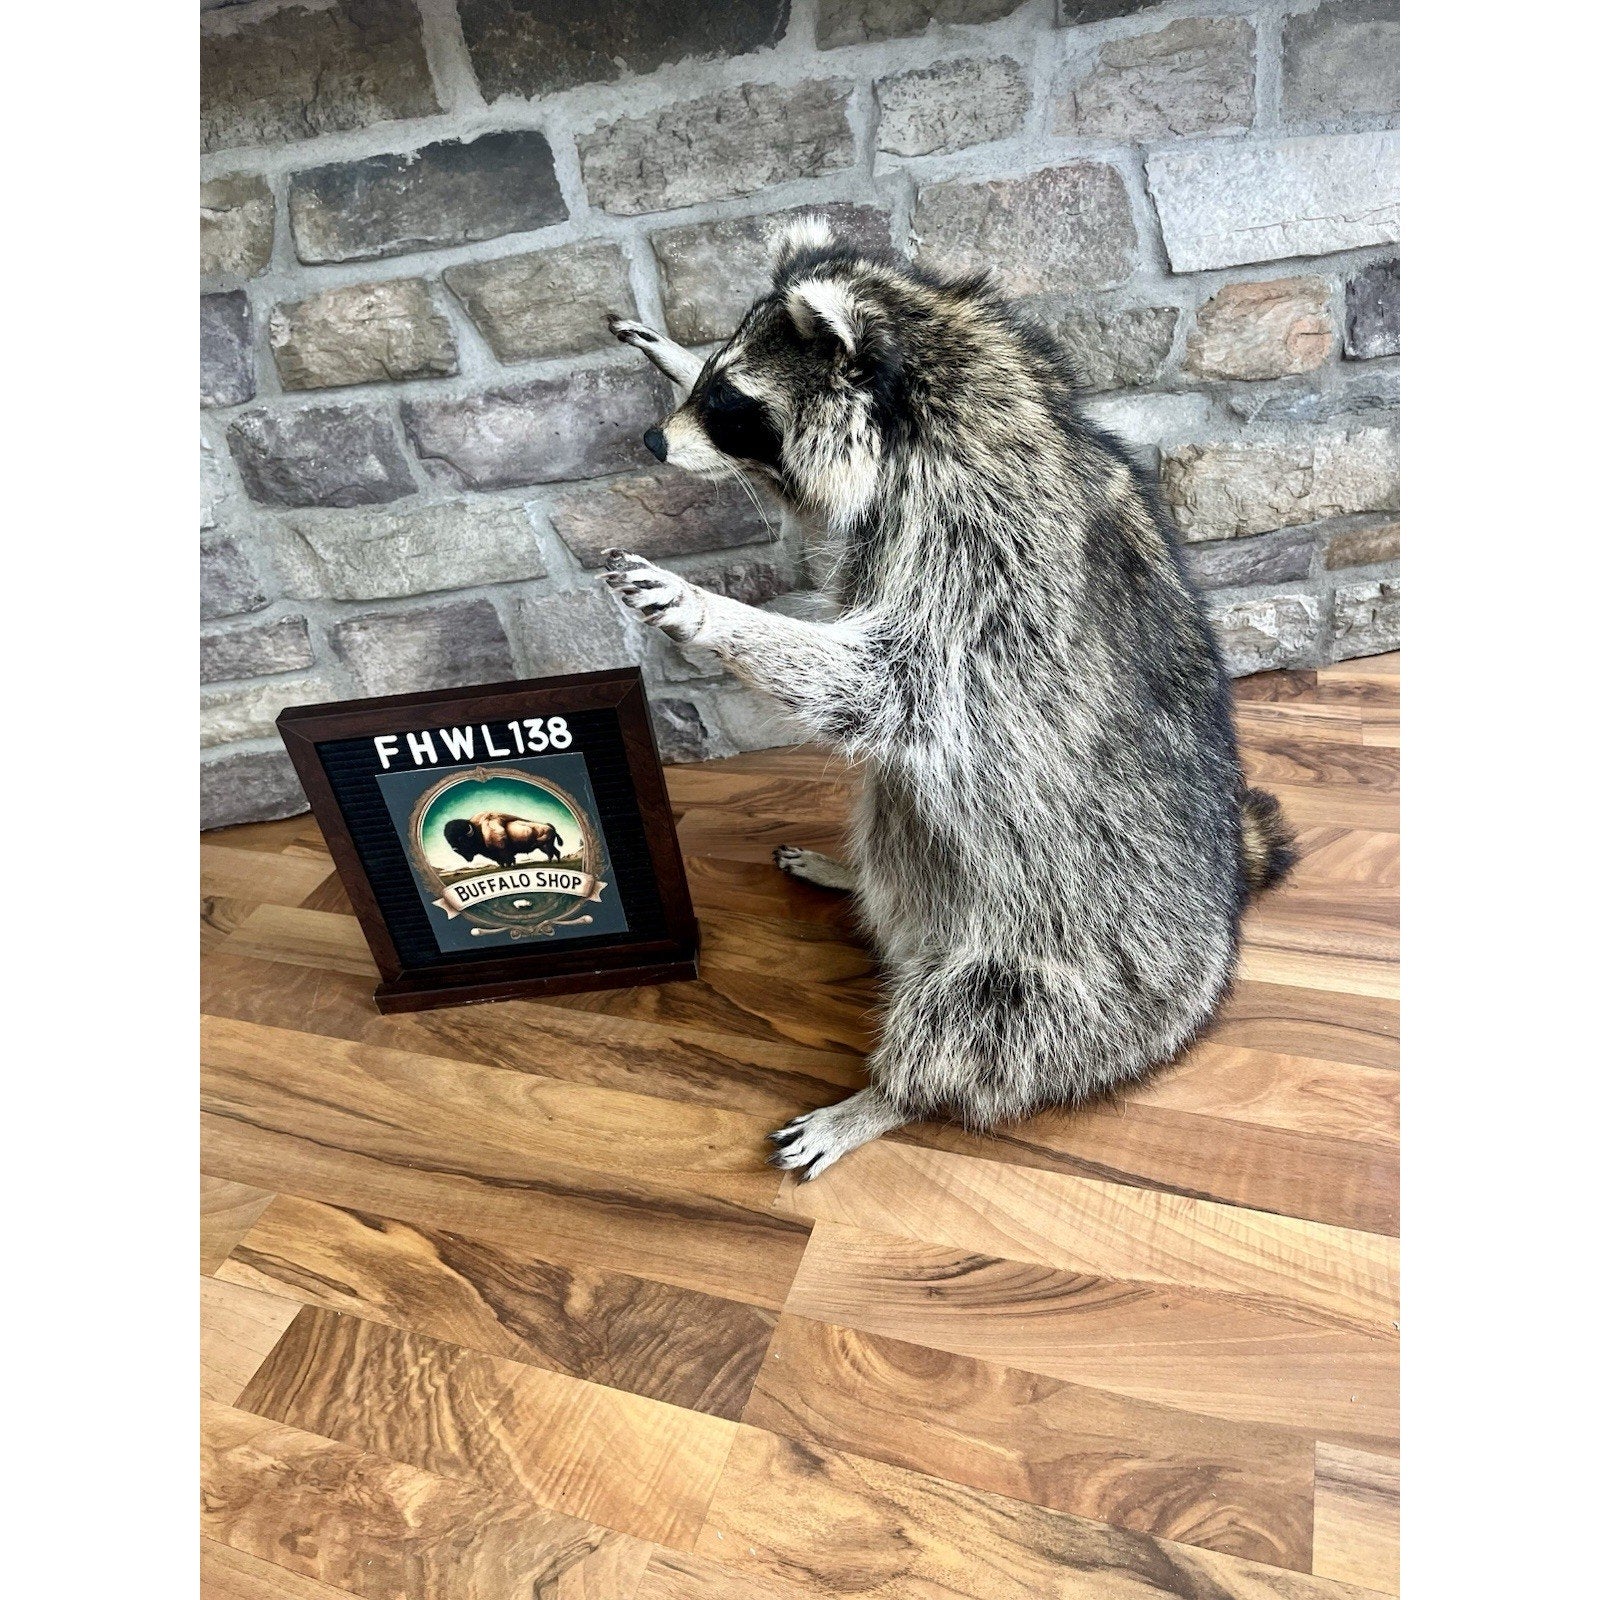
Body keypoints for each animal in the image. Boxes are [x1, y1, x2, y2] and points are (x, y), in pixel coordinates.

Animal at [603, 215, 1297, 1181]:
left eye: (733, 405)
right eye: (712, 379)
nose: (652, 445)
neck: (949, 386)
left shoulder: (991, 551)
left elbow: (893, 684)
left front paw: (712, 611)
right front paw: (665, 349)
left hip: (1071, 975)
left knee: (983, 1021)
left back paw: (891, 1094)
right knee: (898, 830)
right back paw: (858, 884)